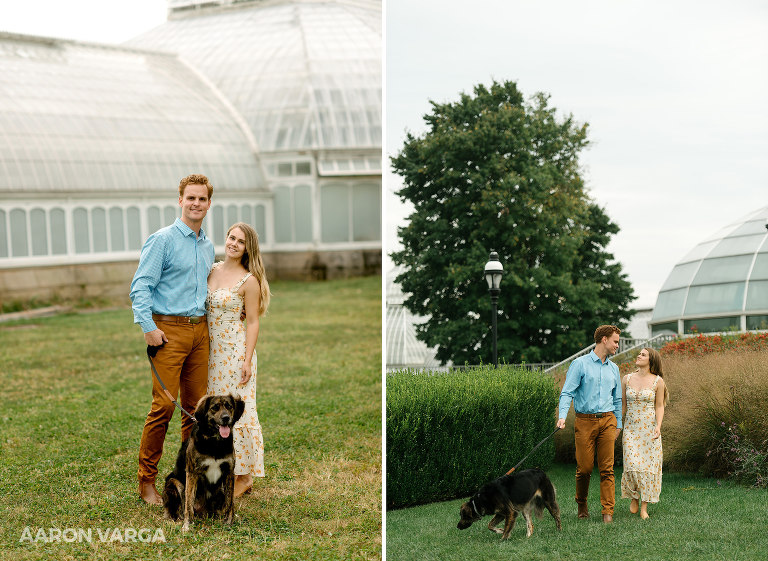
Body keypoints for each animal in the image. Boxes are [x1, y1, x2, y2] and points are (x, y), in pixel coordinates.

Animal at [163, 392, 244, 532]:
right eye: (214, 408)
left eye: (229, 406)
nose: (226, 418)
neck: (215, 442)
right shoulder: (192, 473)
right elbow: (188, 503)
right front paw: (187, 525)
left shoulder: (229, 472)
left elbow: (230, 502)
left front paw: (229, 522)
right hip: (173, 482)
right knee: (177, 507)